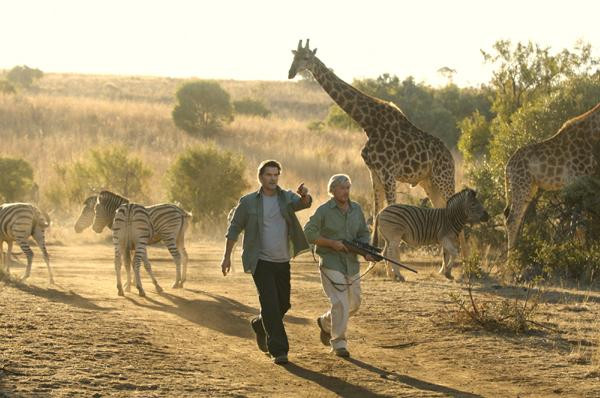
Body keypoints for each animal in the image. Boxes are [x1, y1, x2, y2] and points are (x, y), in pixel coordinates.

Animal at [288, 39, 454, 218]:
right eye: (294, 57)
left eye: (306, 57)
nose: (290, 73)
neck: (368, 123)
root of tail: (451, 157)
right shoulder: (374, 173)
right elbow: (376, 213)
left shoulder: (388, 173)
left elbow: (388, 210)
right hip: (429, 183)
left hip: (443, 179)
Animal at [506, 102, 600, 252]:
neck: (592, 135)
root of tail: (507, 166)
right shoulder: (578, 181)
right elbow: (580, 224)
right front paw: (582, 251)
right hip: (521, 185)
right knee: (512, 220)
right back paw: (513, 256)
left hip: (530, 188)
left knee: (519, 218)